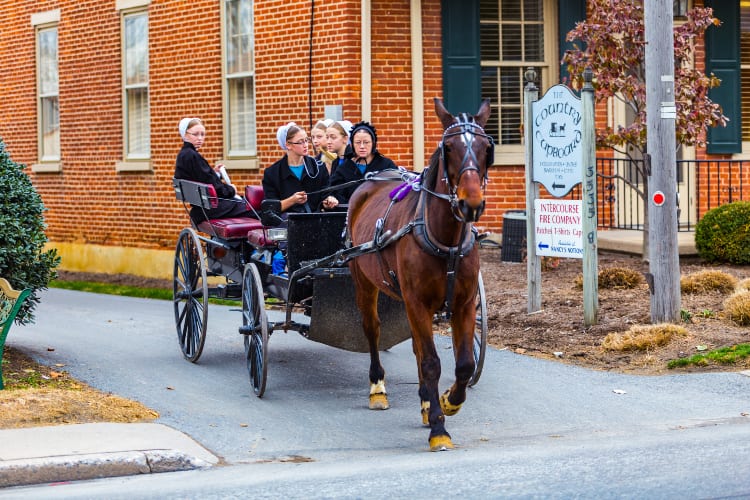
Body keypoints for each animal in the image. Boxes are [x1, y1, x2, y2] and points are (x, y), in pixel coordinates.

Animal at [346, 96, 494, 450]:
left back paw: (426, 402)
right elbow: (431, 362)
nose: (471, 203)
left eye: (486, 147)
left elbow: (464, 364)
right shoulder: (417, 302)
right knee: (372, 329)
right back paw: (377, 388)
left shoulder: (464, 304)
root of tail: (371, 179)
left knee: (416, 345)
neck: (446, 240)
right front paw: (439, 428)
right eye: (449, 147)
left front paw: (446, 402)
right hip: (364, 281)